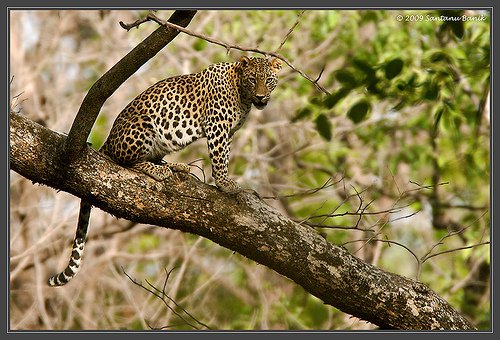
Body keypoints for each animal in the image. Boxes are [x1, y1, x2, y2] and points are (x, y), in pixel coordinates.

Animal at [48, 55, 284, 286]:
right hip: (143, 126)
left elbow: (224, 155)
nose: (261, 97)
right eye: (252, 80)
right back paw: (157, 170)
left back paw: (175, 166)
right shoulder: (217, 126)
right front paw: (225, 184)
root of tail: (109, 140)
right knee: (125, 160)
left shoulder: (228, 132)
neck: (242, 94)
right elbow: (219, 159)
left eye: (269, 80)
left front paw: (226, 182)